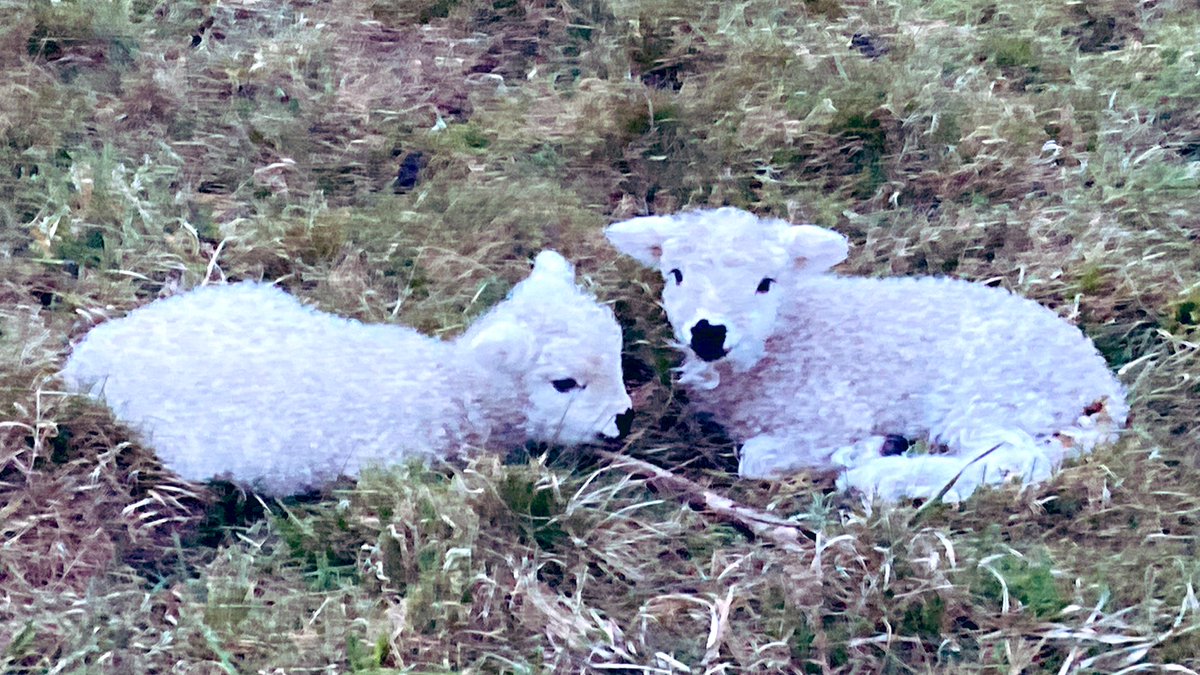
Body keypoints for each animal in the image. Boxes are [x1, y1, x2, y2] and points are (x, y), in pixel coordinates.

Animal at [606, 207, 1127, 503]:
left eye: (765, 283)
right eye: (676, 274)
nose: (708, 333)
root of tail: (1104, 390)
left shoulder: (835, 410)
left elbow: (755, 457)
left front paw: (860, 450)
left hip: (989, 390)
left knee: (1012, 460)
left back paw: (880, 475)